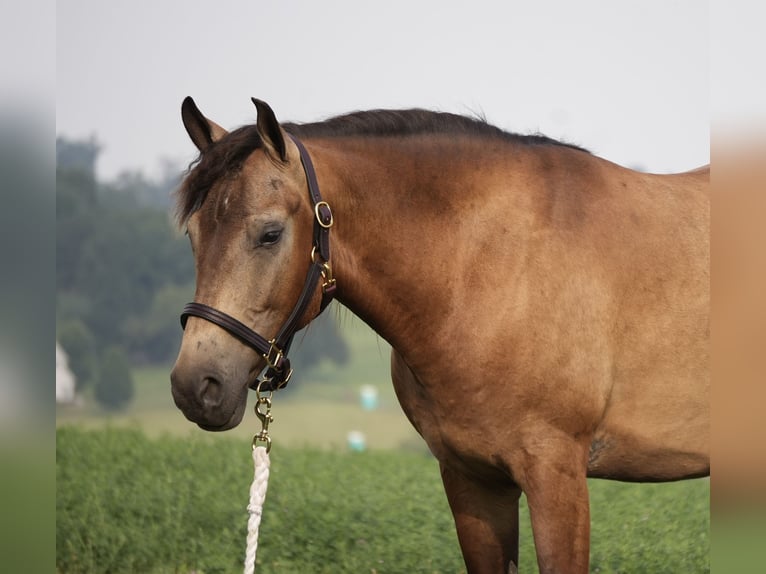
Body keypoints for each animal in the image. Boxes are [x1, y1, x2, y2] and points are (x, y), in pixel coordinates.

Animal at [170, 97, 709, 574]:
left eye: (270, 234)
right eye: (192, 235)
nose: (196, 386)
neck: (492, 266)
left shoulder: (557, 478)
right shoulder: (472, 480)